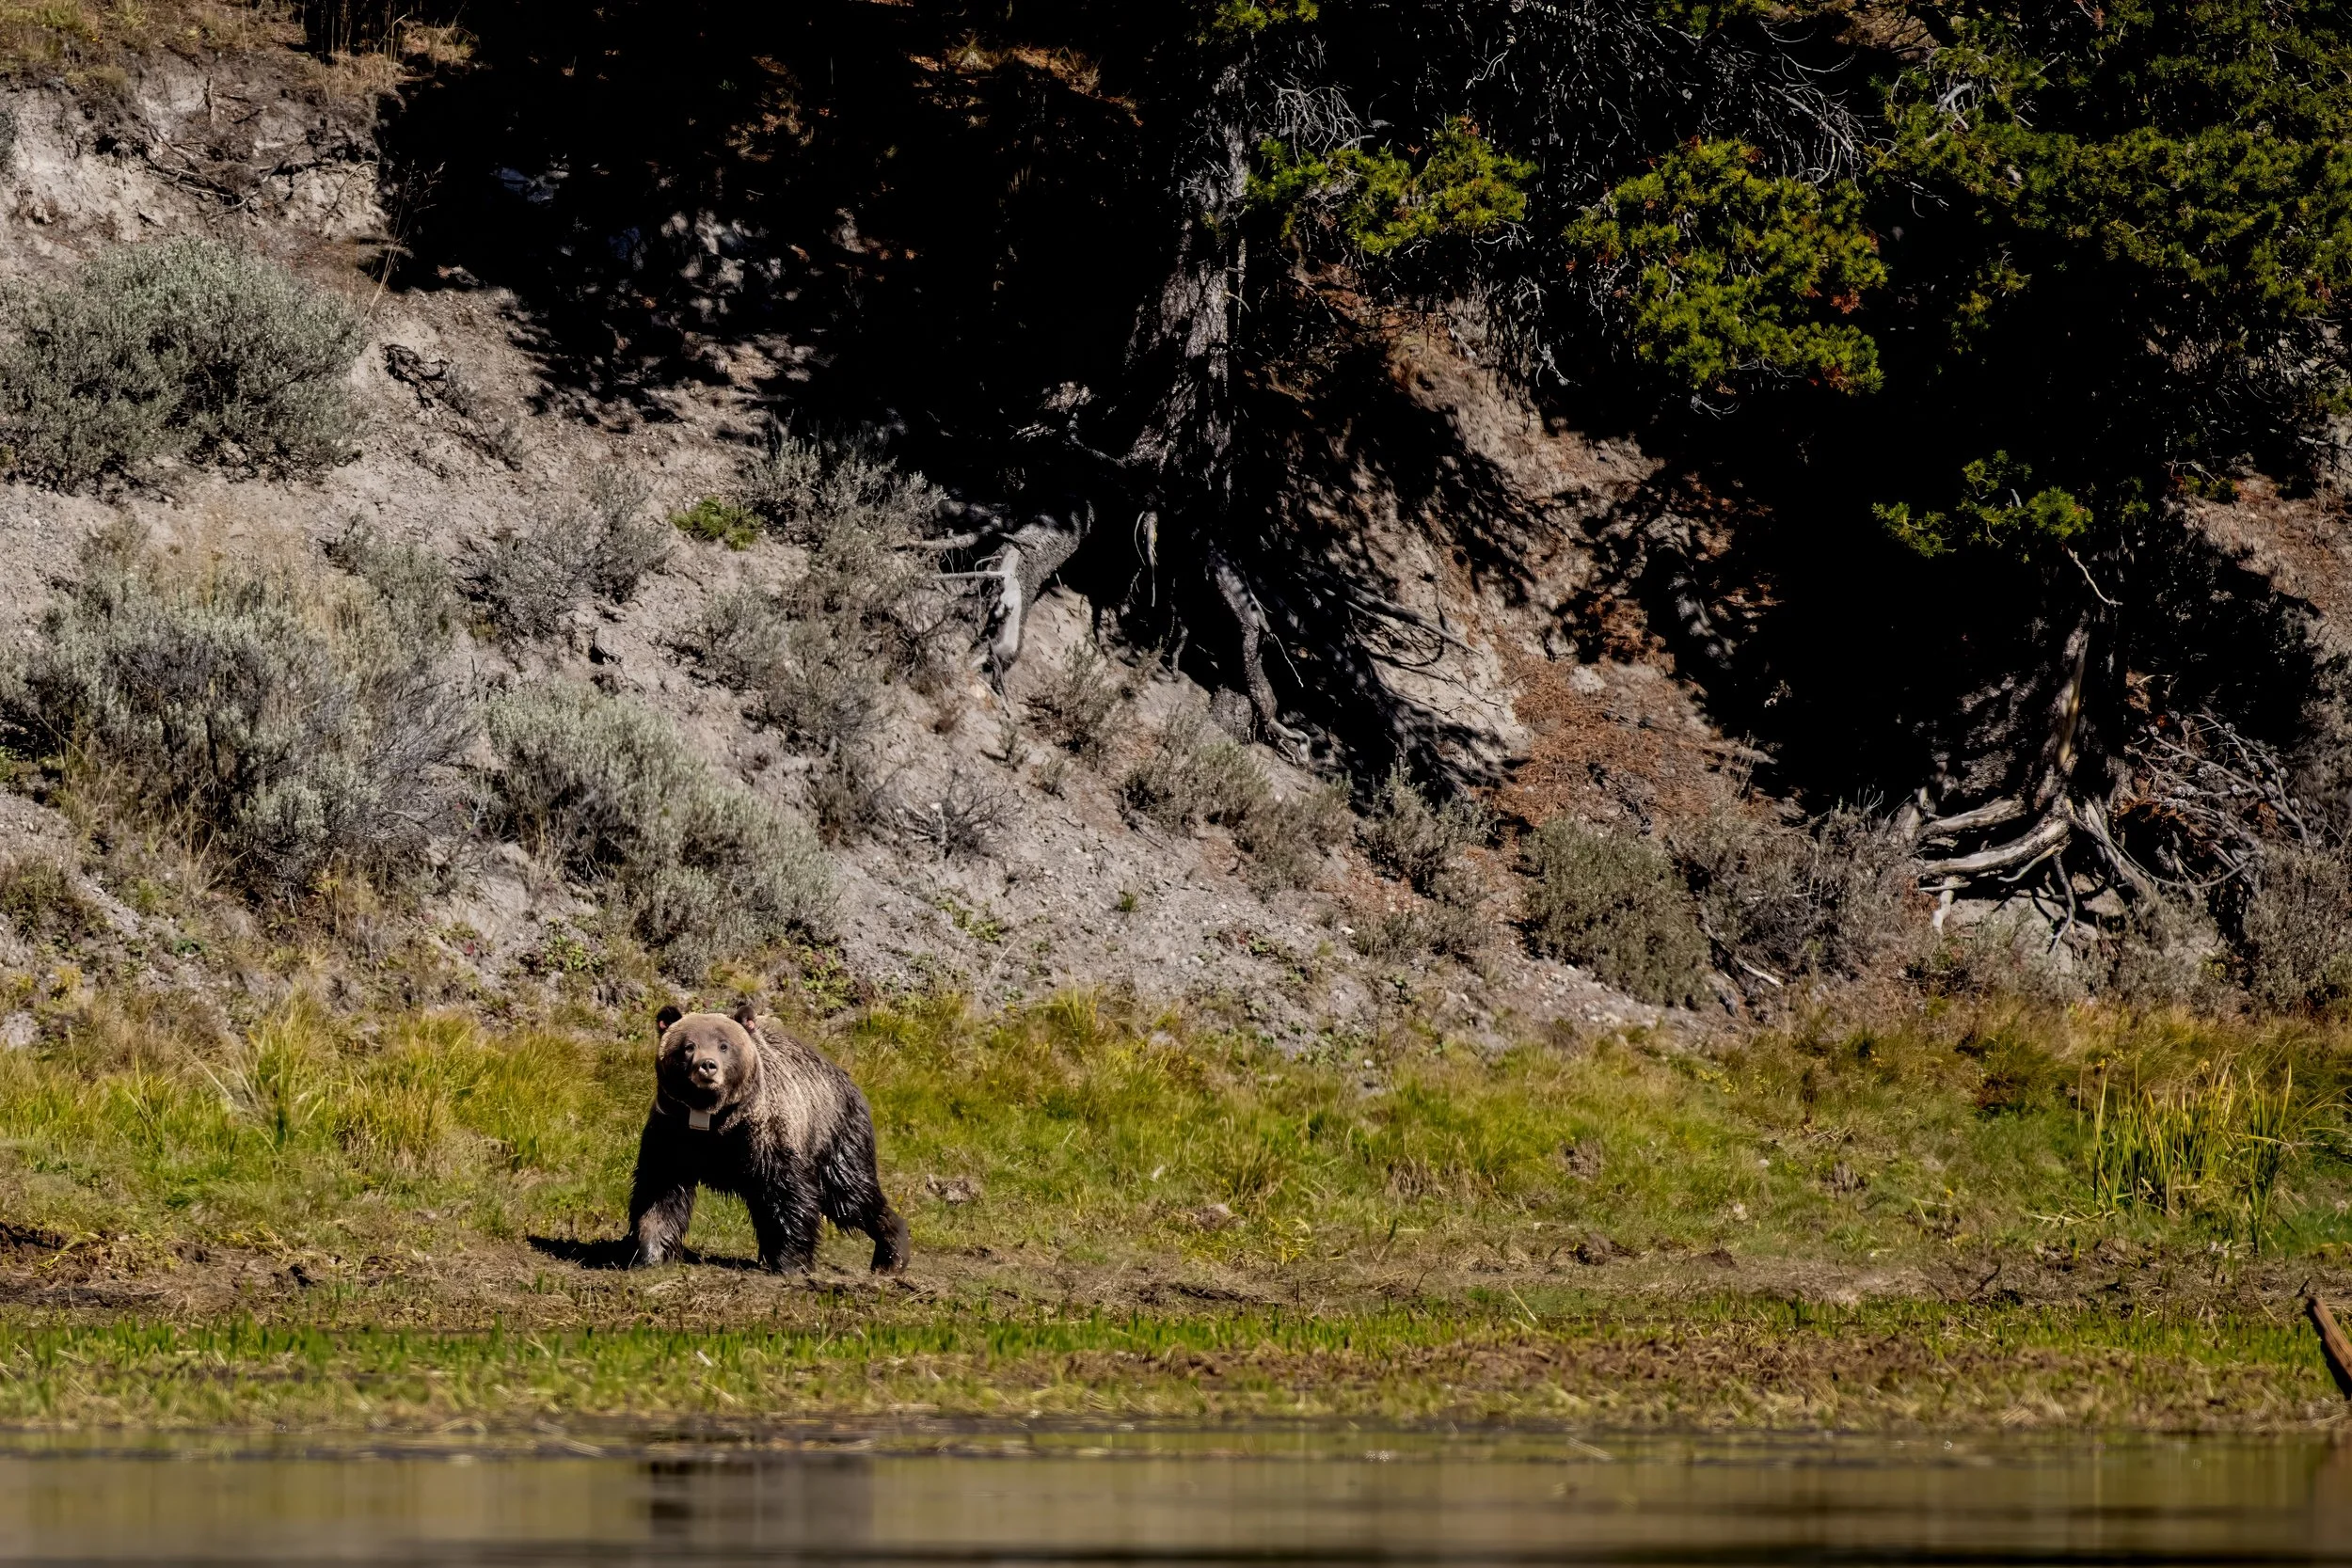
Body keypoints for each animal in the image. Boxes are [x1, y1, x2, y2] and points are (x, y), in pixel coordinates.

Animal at [627, 1001, 909, 1274]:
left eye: (724, 1045)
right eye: (687, 1046)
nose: (707, 1066)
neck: (714, 1120)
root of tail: (847, 1079)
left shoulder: (768, 1137)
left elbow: (789, 1194)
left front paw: (792, 1263)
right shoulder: (673, 1133)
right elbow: (659, 1191)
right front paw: (652, 1253)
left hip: (836, 1135)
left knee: (851, 1195)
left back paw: (892, 1255)